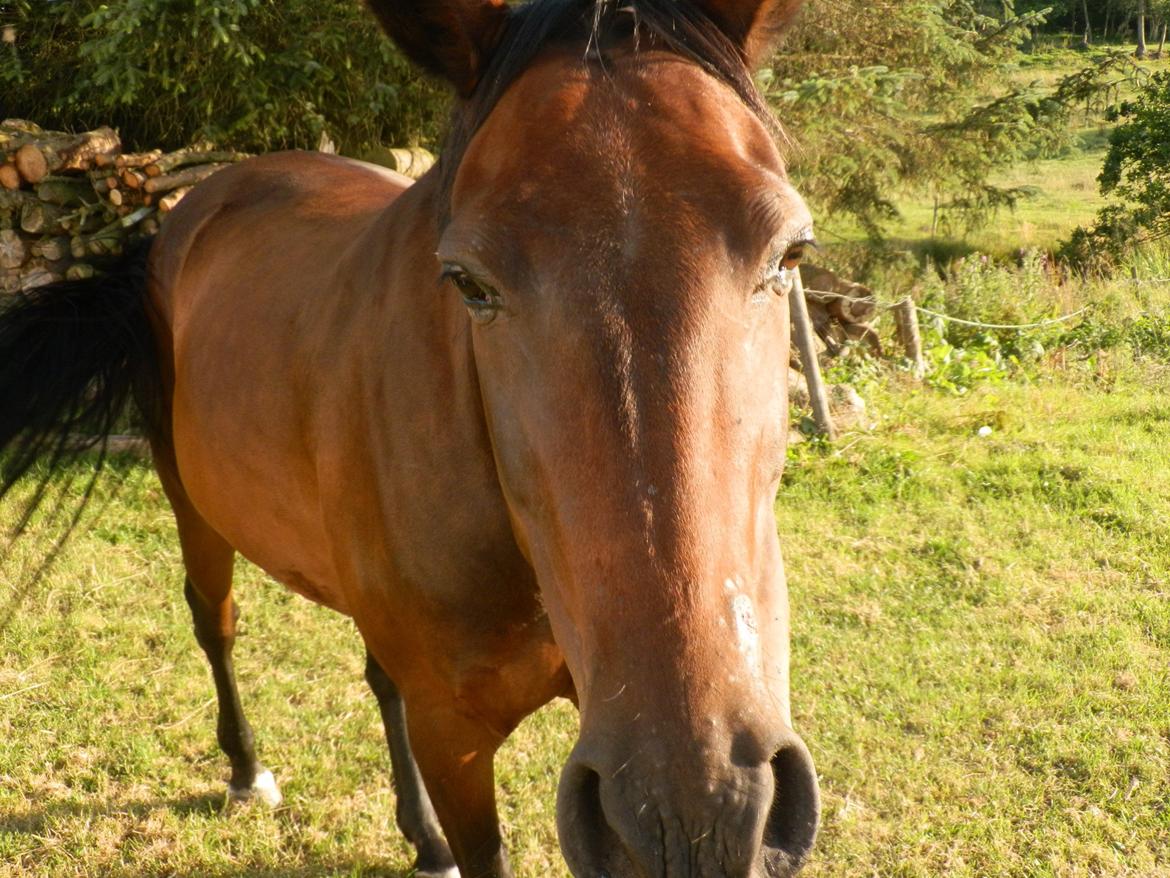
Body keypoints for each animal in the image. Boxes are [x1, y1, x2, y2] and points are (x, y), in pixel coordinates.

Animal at [0, 1, 819, 878]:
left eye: (791, 252)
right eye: (468, 281)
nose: (695, 807)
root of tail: (191, 208)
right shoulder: (453, 737)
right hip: (192, 501)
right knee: (214, 621)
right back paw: (248, 770)